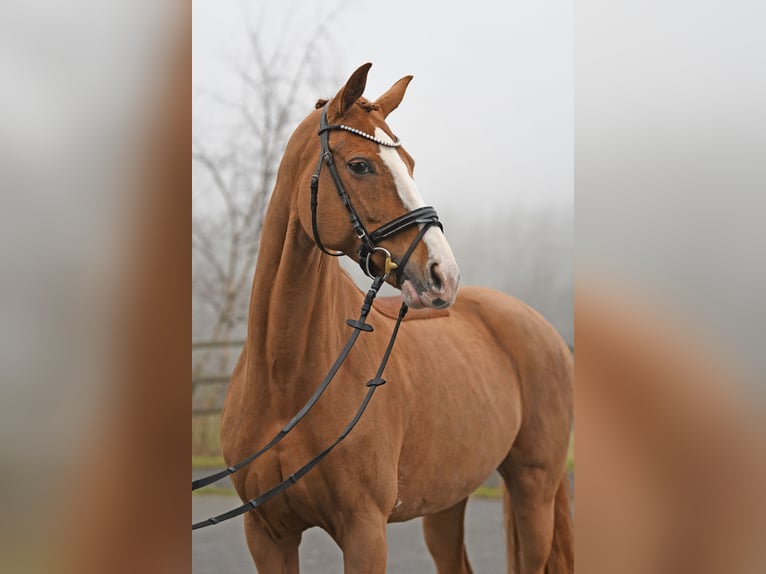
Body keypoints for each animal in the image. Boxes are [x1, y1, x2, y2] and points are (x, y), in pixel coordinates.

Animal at [219, 65, 572, 572]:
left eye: (409, 162)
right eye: (360, 165)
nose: (444, 274)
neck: (285, 384)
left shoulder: (364, 532)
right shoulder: (267, 534)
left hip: (534, 489)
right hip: (448, 500)